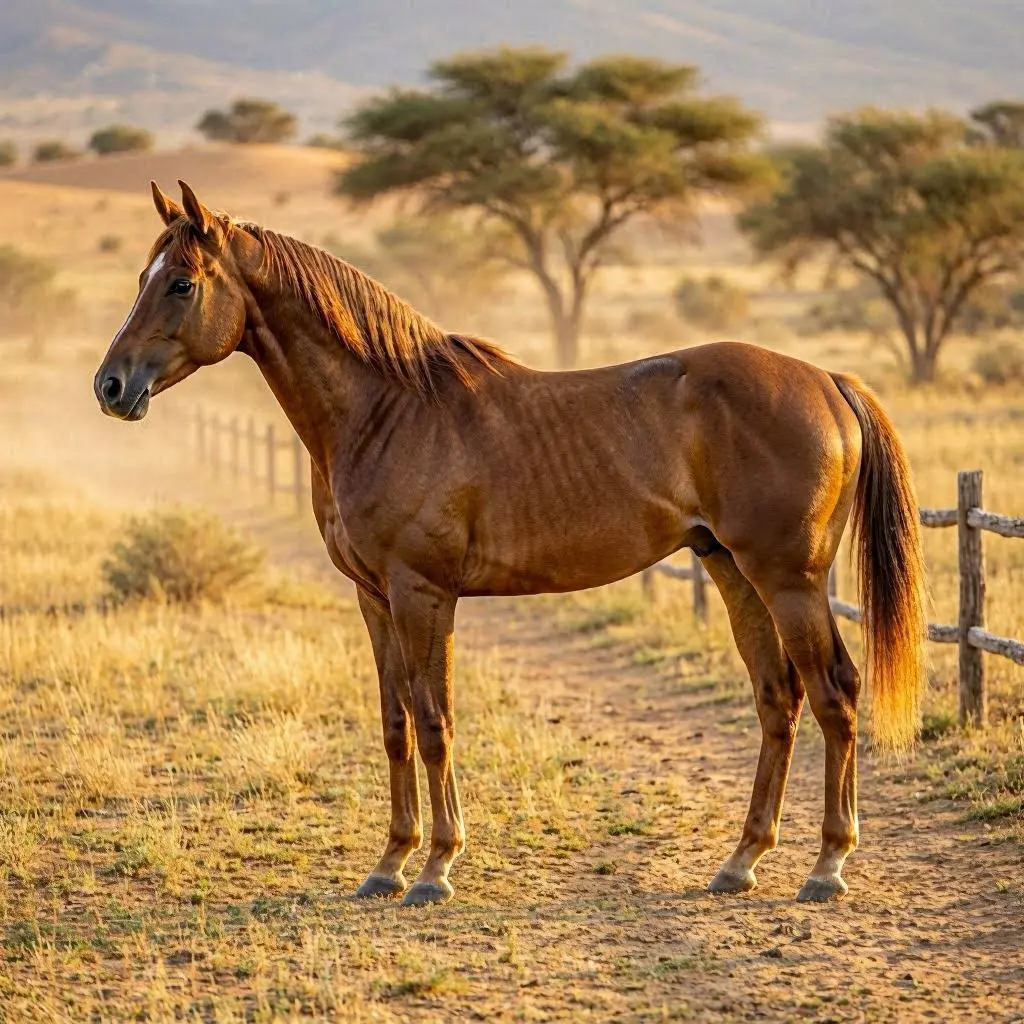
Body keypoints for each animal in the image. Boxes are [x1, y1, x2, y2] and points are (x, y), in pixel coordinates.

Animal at [94, 180, 925, 906]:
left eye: (180, 284)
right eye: (142, 276)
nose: (110, 386)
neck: (386, 409)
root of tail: (827, 380)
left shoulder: (423, 593)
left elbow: (435, 723)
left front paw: (435, 868)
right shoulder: (373, 598)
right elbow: (395, 725)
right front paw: (388, 865)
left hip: (789, 580)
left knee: (835, 694)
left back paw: (827, 867)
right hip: (732, 571)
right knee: (777, 698)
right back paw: (741, 862)